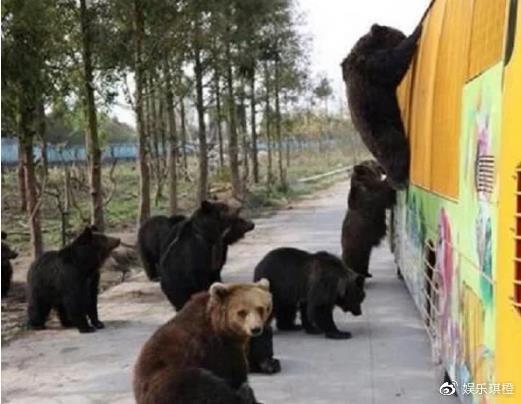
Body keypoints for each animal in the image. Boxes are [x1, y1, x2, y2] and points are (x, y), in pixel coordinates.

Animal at [132, 280, 270, 404]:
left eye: (260, 308)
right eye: (242, 312)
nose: (255, 329)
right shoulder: (218, 347)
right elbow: (236, 374)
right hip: (167, 379)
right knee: (201, 383)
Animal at [342, 23, 422, 189]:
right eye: (399, 34)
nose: (404, 35)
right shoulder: (370, 66)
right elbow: (393, 63)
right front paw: (418, 30)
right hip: (382, 130)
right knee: (395, 149)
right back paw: (400, 180)